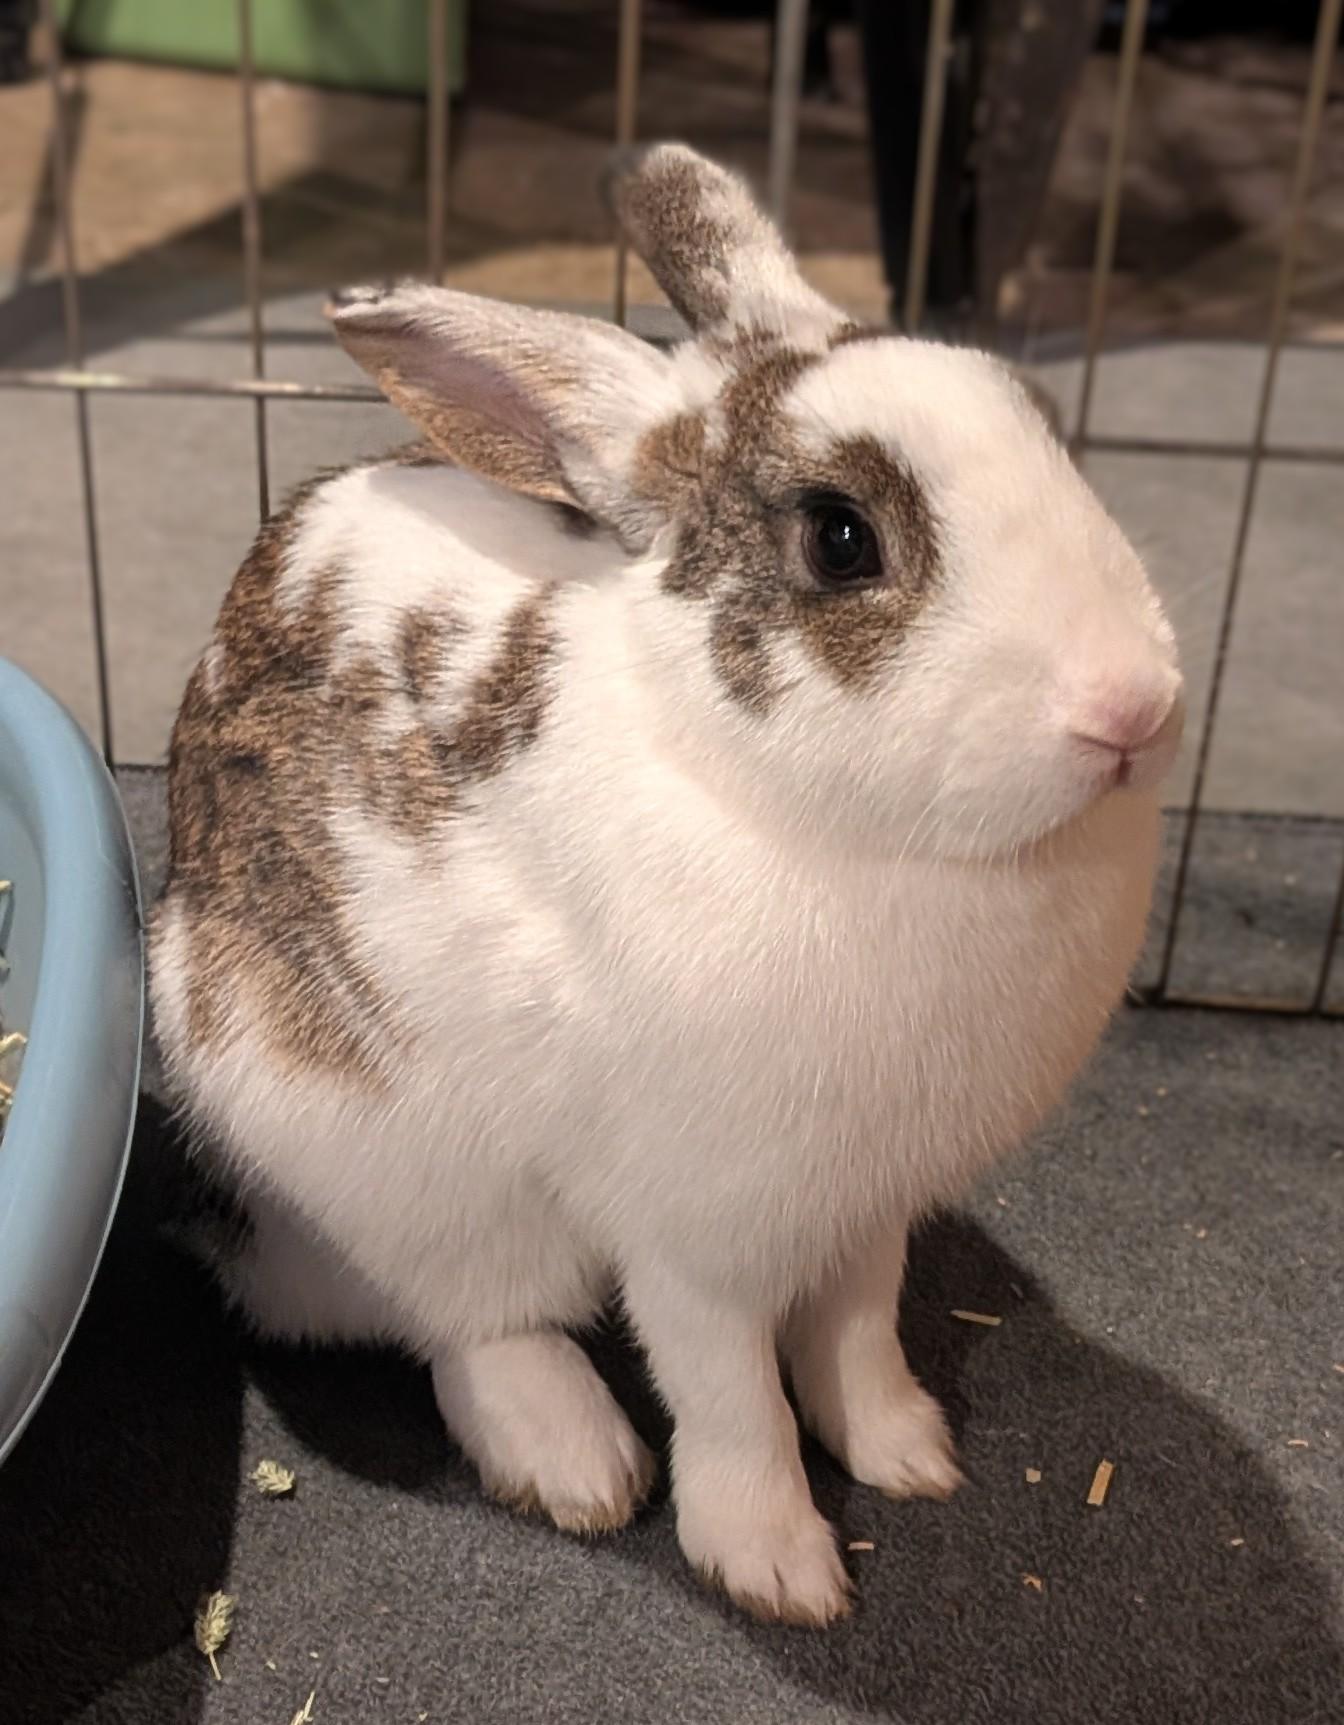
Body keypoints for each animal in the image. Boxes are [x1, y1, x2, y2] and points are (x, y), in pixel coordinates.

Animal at [150, 142, 1183, 1627]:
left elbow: (858, 1336)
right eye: (841, 538)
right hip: (381, 1159)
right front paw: (778, 1566)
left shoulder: (865, 1212)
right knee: (468, 1323)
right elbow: (730, 1394)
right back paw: (577, 1462)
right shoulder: (698, 1239)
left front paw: (909, 1455)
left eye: (1043, 421)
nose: (1133, 708)